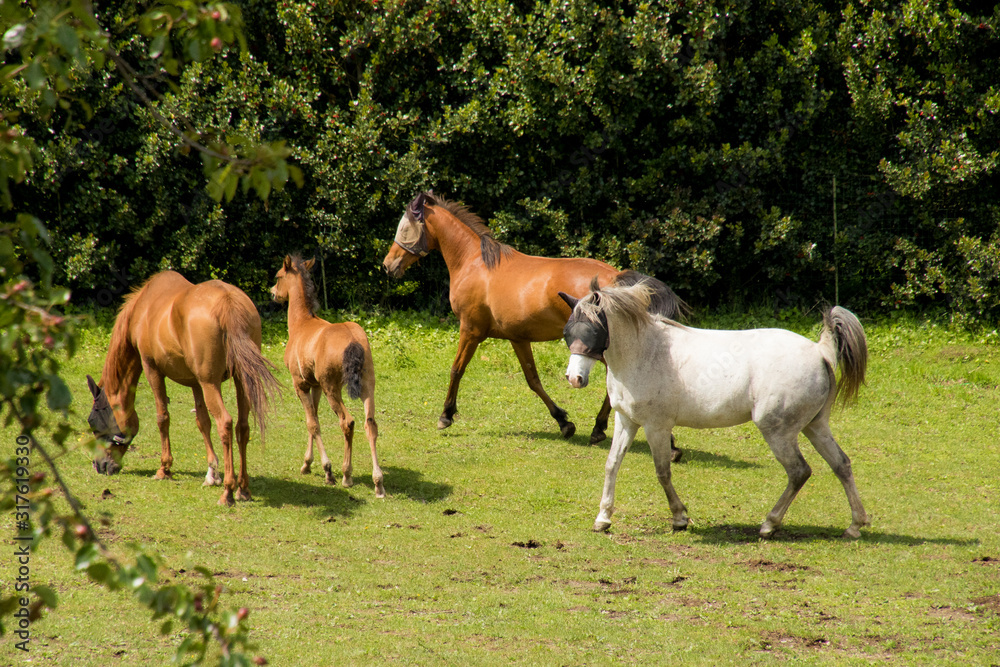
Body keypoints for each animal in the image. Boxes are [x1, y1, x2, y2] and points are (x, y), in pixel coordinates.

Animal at [86, 272, 280, 506]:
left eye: (92, 422)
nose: (99, 466)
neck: (144, 309)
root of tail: (228, 302)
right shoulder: (195, 383)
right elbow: (202, 422)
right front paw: (211, 473)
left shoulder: (152, 370)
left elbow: (163, 418)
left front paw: (164, 469)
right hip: (240, 379)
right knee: (242, 427)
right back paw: (243, 488)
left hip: (211, 384)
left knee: (225, 424)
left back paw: (228, 491)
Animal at [270, 256, 386, 496]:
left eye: (278, 276)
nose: (272, 292)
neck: (301, 323)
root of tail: (353, 341)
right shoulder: (315, 385)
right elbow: (314, 418)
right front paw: (307, 463)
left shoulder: (301, 384)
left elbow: (312, 423)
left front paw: (326, 469)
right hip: (367, 385)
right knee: (370, 424)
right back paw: (378, 482)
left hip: (333, 388)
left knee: (347, 422)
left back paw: (346, 475)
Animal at [380, 190, 688, 446]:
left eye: (405, 227)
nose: (387, 265)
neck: (475, 263)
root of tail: (616, 278)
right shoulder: (517, 339)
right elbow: (533, 380)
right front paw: (564, 422)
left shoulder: (470, 330)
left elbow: (456, 369)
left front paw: (446, 415)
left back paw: (617, 432)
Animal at [560, 280, 872, 540]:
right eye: (567, 332)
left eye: (594, 331)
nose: (575, 378)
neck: (644, 352)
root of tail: (819, 351)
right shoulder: (626, 420)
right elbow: (612, 464)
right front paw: (603, 518)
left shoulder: (656, 426)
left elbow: (662, 472)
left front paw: (680, 518)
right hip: (815, 426)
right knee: (841, 464)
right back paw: (854, 526)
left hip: (778, 432)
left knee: (799, 471)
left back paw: (769, 525)